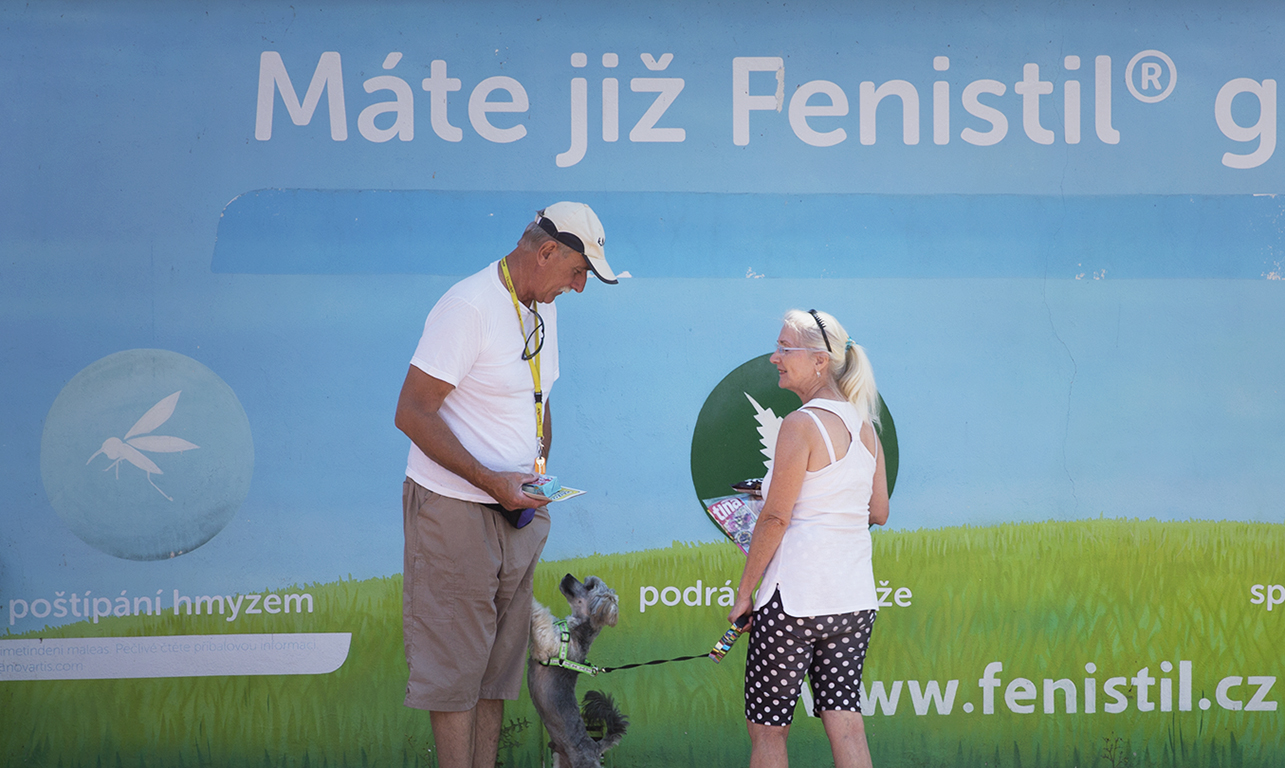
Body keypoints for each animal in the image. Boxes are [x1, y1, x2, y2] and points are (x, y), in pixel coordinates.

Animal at [528, 574, 628, 768]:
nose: (568, 575)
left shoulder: (546, 643)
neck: (575, 628)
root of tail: (596, 747)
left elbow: (540, 614)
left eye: (590, 586)